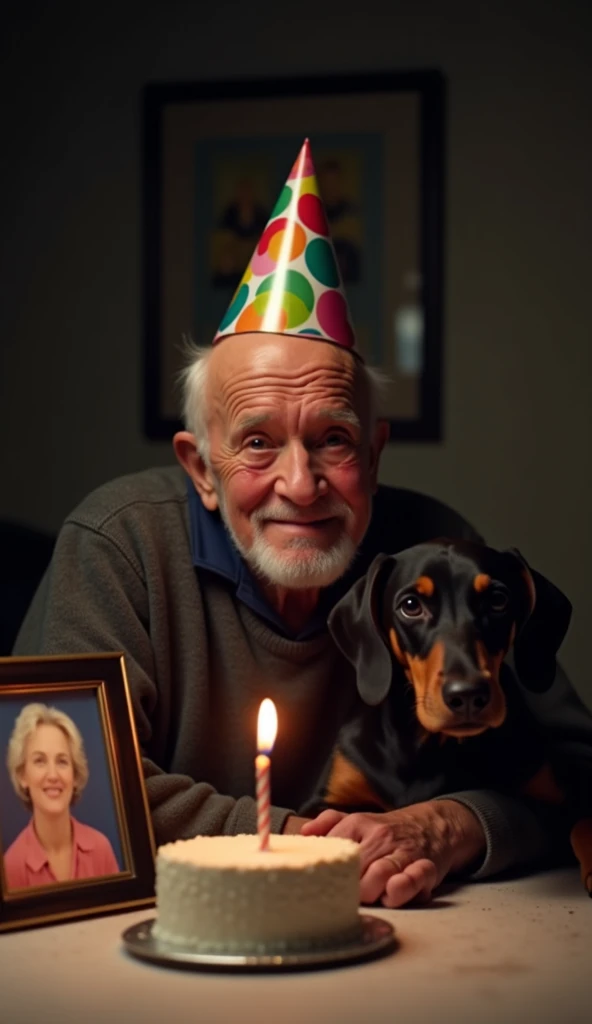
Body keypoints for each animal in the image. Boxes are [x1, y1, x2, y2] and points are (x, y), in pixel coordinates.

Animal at [311, 540, 585, 892]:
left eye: (498, 600)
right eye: (410, 605)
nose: (467, 694)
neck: (424, 746)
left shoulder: (556, 794)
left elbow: (581, 825)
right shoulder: (326, 800)